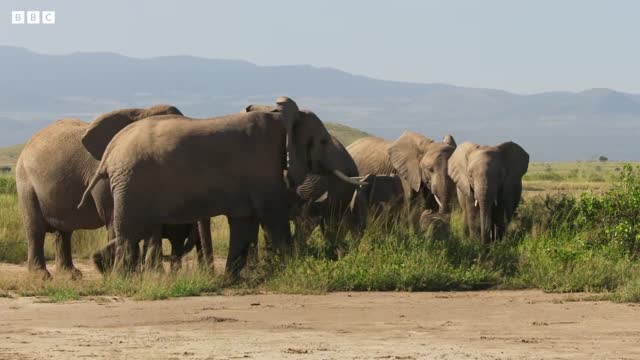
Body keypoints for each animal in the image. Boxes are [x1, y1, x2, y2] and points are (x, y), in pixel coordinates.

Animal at [15, 105, 205, 278]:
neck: (142, 110)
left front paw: (141, 275)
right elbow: (116, 215)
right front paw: (126, 274)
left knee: (64, 232)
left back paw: (72, 275)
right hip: (25, 182)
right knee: (35, 229)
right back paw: (41, 276)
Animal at [79, 95, 364, 276]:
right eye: (323, 141)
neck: (279, 117)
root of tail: (111, 149)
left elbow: (242, 223)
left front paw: (232, 279)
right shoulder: (261, 165)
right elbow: (273, 218)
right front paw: (291, 269)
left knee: (130, 232)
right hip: (132, 183)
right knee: (129, 232)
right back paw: (121, 278)